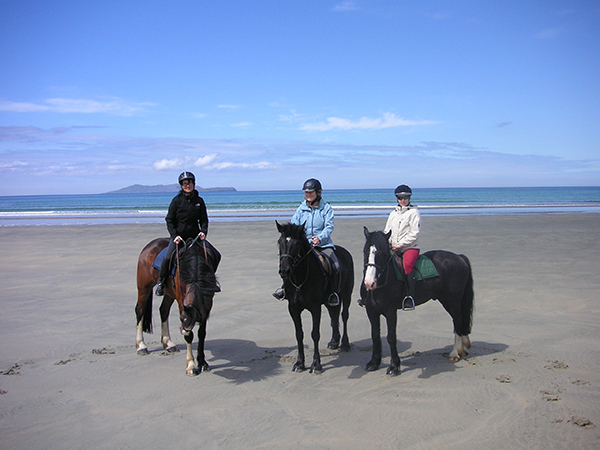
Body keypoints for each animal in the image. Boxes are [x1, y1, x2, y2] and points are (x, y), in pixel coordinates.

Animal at [134, 237, 220, 374]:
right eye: (182, 320)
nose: (182, 330)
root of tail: (150, 245)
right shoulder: (182, 303)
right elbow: (190, 335)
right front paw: (191, 365)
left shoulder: (205, 307)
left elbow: (201, 333)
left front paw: (202, 363)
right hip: (144, 286)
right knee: (140, 311)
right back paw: (141, 346)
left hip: (169, 292)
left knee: (163, 310)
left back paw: (169, 344)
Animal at [278, 221, 356, 372]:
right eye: (280, 242)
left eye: (296, 244)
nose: (284, 271)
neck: (300, 279)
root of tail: (345, 252)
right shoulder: (293, 308)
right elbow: (299, 334)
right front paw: (299, 363)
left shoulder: (315, 308)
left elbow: (315, 334)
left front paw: (316, 364)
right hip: (330, 300)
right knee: (334, 315)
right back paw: (334, 341)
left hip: (346, 295)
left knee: (344, 316)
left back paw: (344, 344)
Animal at [360, 229, 474, 376]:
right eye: (365, 251)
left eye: (383, 253)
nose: (369, 283)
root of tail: (460, 257)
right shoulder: (371, 311)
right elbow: (375, 336)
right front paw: (374, 363)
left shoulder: (391, 312)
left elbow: (391, 337)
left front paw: (394, 366)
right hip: (446, 300)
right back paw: (463, 348)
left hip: (453, 300)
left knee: (458, 320)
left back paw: (455, 353)